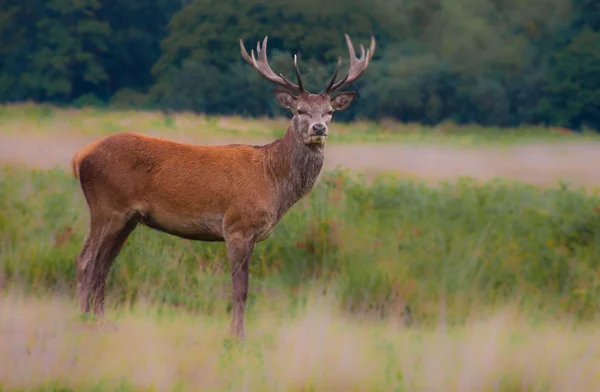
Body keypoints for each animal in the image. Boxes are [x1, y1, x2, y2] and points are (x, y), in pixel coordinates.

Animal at [70, 33, 376, 340]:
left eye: (329, 112)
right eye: (299, 110)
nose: (318, 128)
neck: (272, 182)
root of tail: (80, 156)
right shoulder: (237, 226)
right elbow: (240, 288)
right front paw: (237, 336)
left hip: (129, 218)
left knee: (102, 266)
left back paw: (100, 319)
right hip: (107, 207)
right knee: (86, 260)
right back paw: (84, 319)